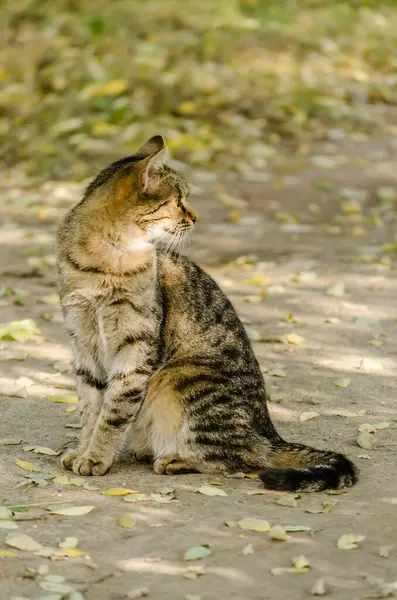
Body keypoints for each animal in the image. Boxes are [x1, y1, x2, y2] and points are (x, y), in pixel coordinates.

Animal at [57, 134, 358, 490]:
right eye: (178, 201)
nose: (195, 217)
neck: (103, 261)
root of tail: (270, 433)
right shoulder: (83, 342)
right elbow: (90, 408)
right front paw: (83, 450)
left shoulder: (136, 347)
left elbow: (113, 412)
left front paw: (96, 457)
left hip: (180, 380)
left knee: (243, 458)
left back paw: (175, 459)